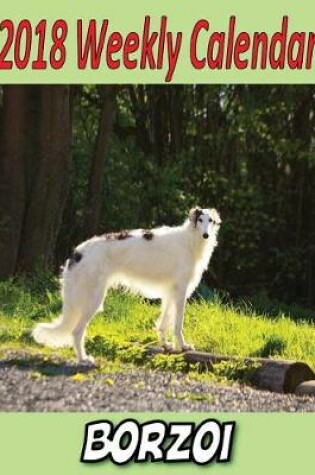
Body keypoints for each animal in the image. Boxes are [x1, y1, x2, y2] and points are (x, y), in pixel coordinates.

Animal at [33, 207, 222, 364]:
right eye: (200, 220)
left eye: (211, 221)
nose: (206, 235)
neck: (189, 240)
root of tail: (77, 253)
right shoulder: (181, 290)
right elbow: (177, 324)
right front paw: (183, 346)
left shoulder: (171, 292)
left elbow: (163, 323)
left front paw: (166, 345)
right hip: (93, 300)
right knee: (76, 331)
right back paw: (83, 359)